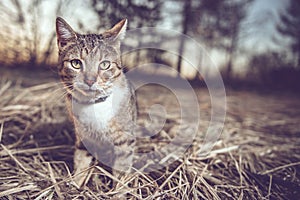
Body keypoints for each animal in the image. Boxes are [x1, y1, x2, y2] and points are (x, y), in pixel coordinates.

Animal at [55, 16, 137, 188]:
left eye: (105, 64)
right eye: (76, 63)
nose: (90, 80)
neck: (94, 105)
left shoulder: (125, 141)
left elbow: (121, 169)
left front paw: (118, 191)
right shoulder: (84, 139)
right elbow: (81, 161)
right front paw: (76, 184)